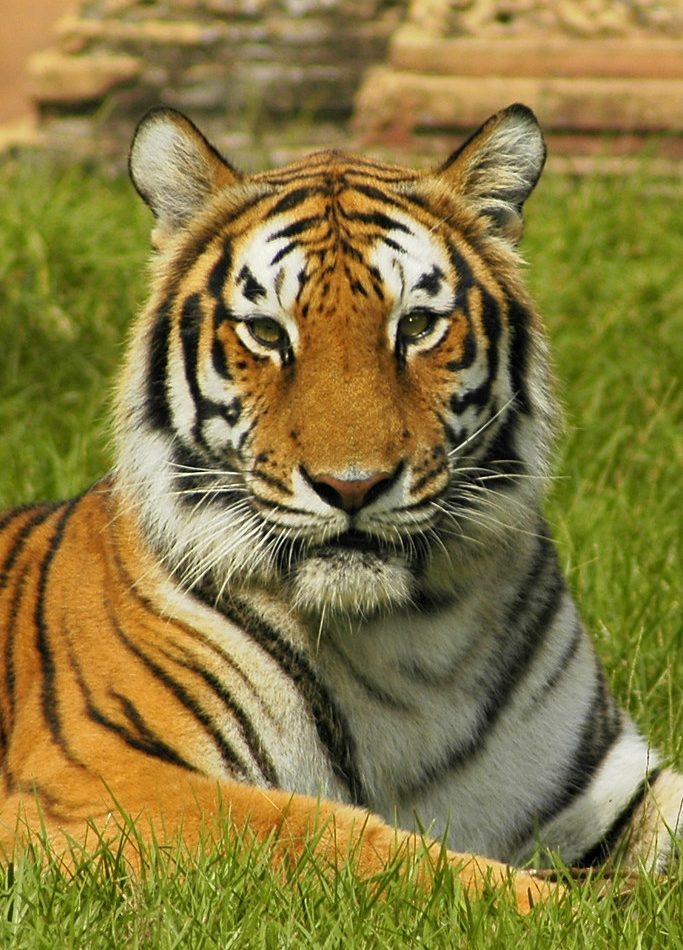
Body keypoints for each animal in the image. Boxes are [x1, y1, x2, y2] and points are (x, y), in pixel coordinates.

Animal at [0, 104, 680, 914]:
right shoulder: (91, 780)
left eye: (416, 325)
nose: (352, 486)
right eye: (267, 332)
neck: (411, 649)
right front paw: (571, 908)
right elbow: (341, 839)